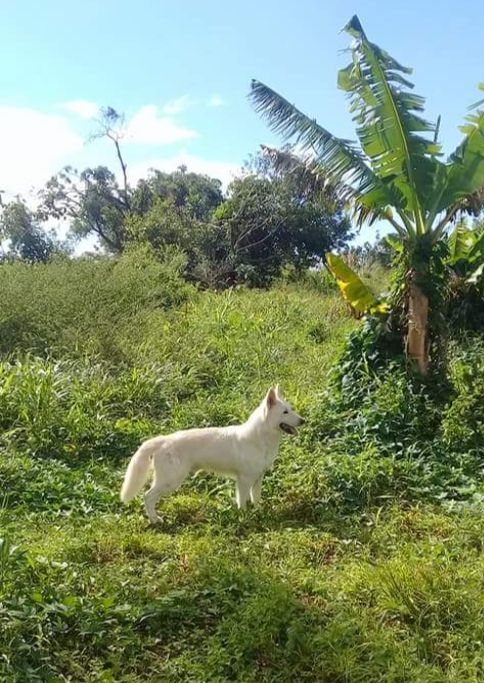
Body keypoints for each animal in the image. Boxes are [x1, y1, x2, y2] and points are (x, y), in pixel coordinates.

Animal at [119, 384, 302, 524]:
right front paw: (244, 517)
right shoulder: (243, 480)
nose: (303, 420)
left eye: (291, 409)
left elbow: (256, 499)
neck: (260, 438)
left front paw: (259, 513)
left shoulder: (257, 479)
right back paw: (155, 520)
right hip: (171, 481)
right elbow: (242, 502)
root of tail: (162, 440)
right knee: (147, 497)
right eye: (285, 412)